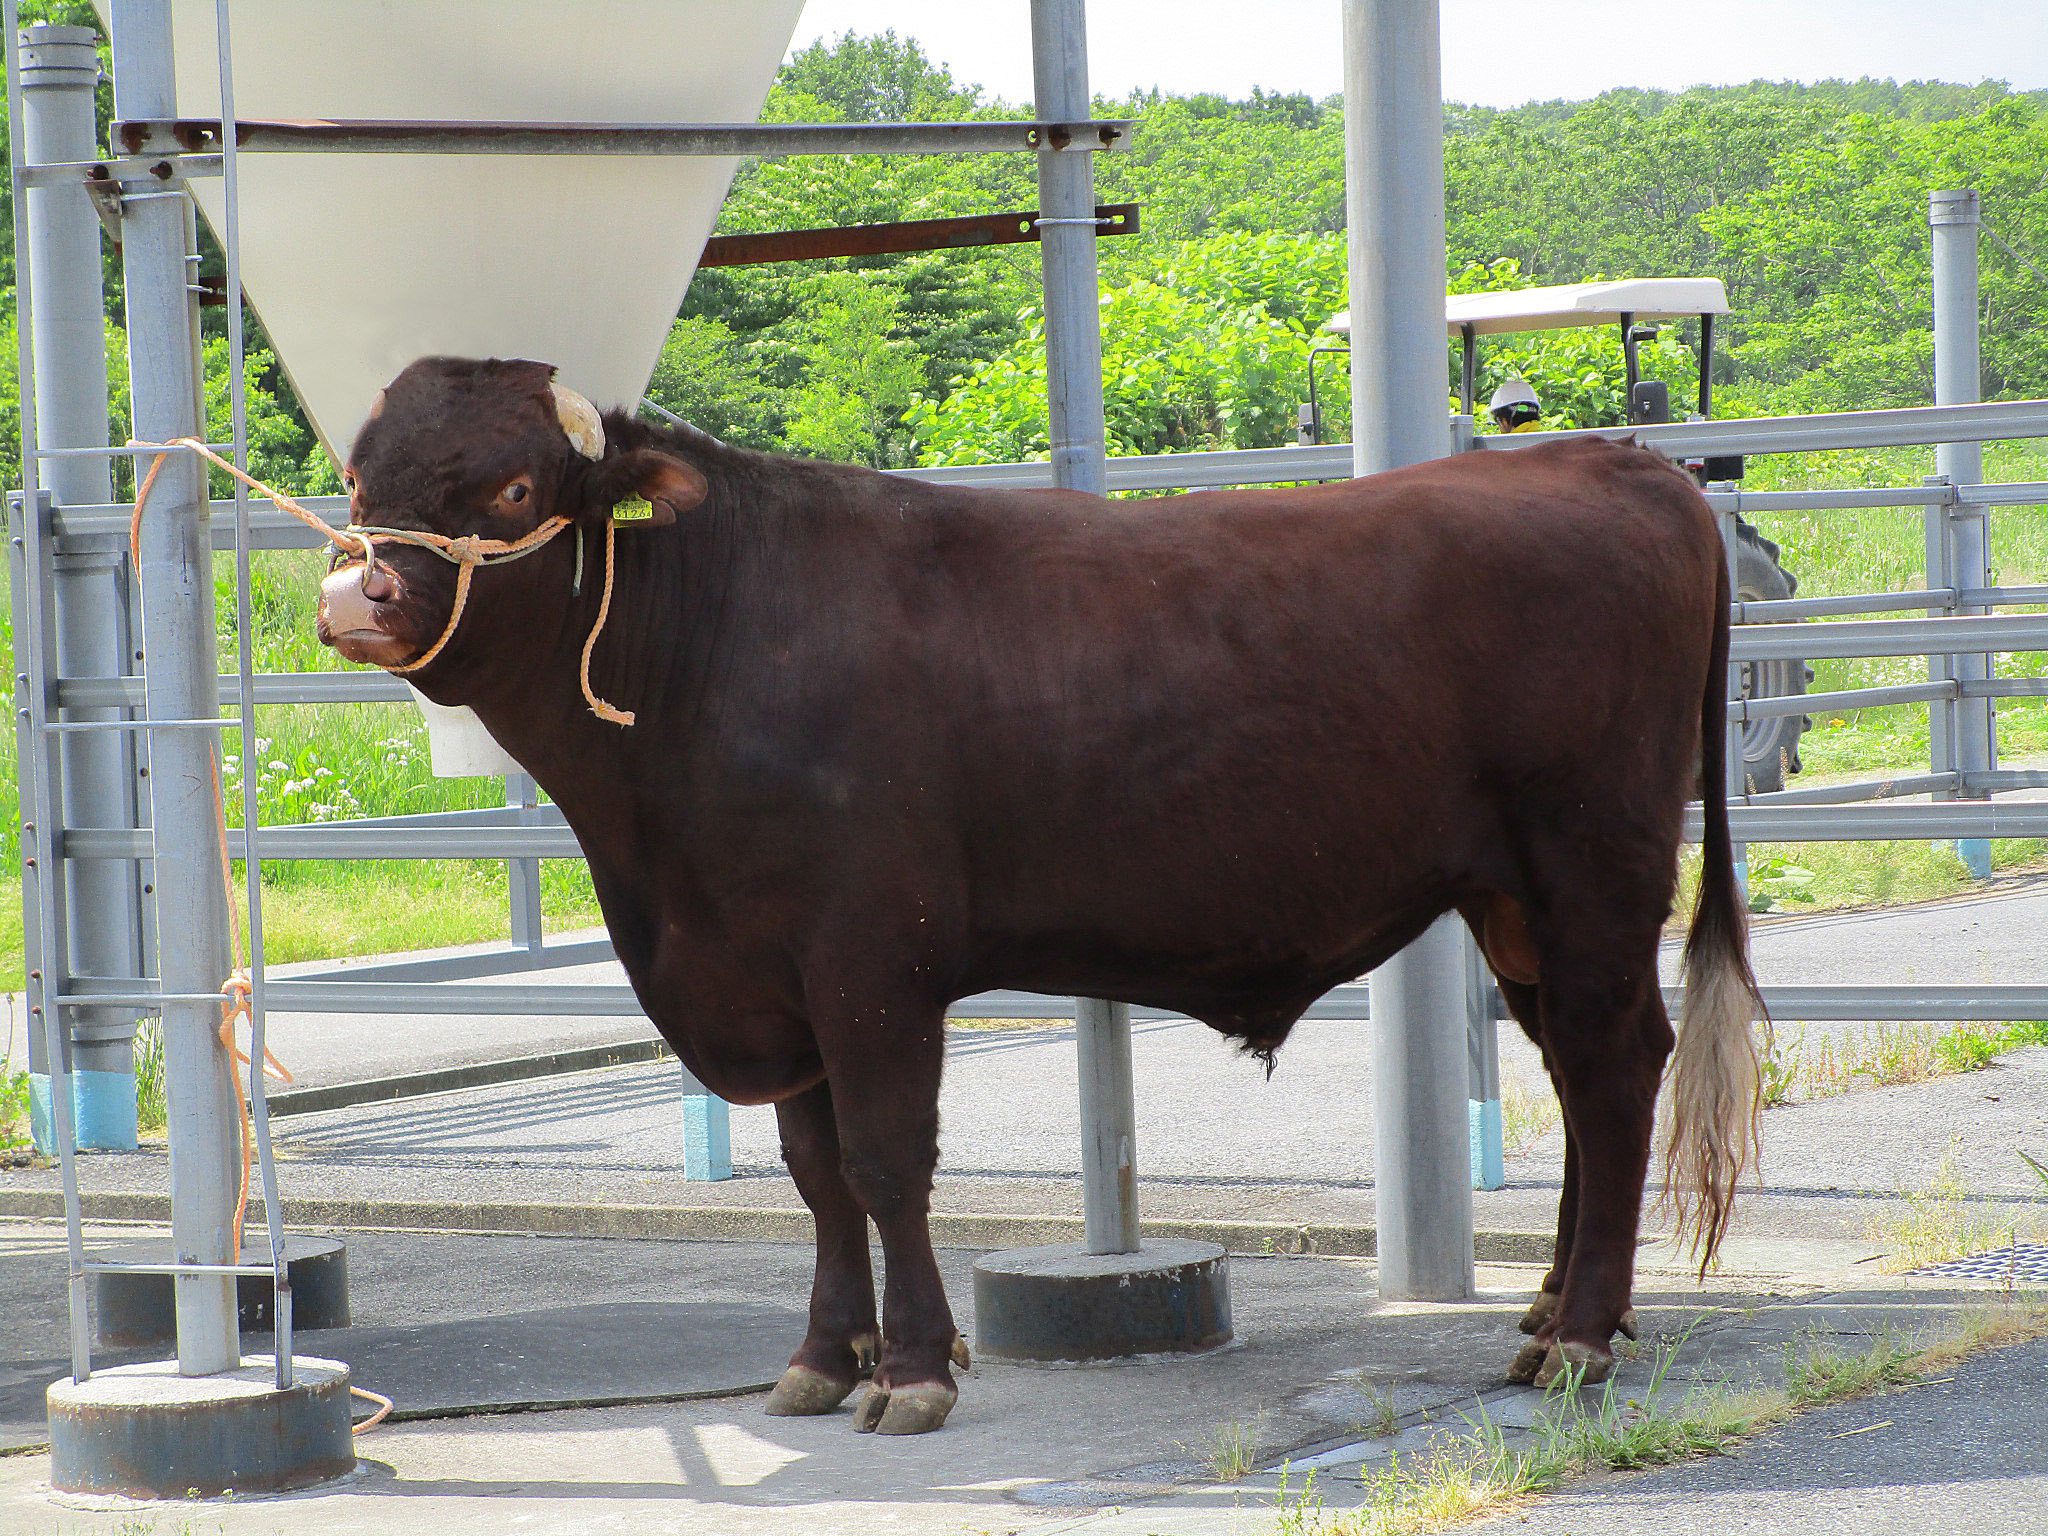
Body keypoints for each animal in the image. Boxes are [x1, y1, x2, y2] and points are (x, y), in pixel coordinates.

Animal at [315, 354, 1761, 1441]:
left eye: (511, 484)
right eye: (360, 477)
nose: (353, 595)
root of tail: (1614, 460)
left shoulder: (867, 960)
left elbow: (883, 1161)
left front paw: (911, 1373)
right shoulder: (770, 976)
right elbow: (814, 1176)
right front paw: (823, 1359)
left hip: (1592, 863)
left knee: (1614, 1067)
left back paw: (1579, 1338)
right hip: (1515, 899)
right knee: (1572, 1071)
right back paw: (1560, 1309)